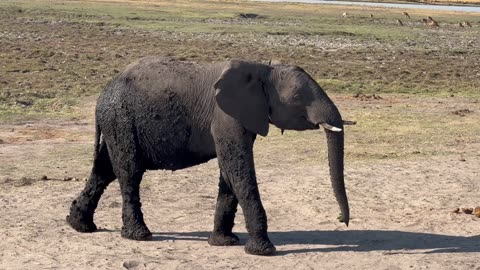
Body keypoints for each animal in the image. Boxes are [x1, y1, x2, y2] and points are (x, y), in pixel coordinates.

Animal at [66, 57, 352, 255]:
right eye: (297, 97)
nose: (342, 220)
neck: (262, 69)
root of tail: (103, 93)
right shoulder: (226, 118)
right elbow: (239, 169)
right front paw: (263, 250)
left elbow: (229, 173)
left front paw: (223, 243)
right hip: (122, 119)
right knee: (129, 171)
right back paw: (139, 235)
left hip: (116, 123)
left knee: (104, 170)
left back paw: (79, 225)